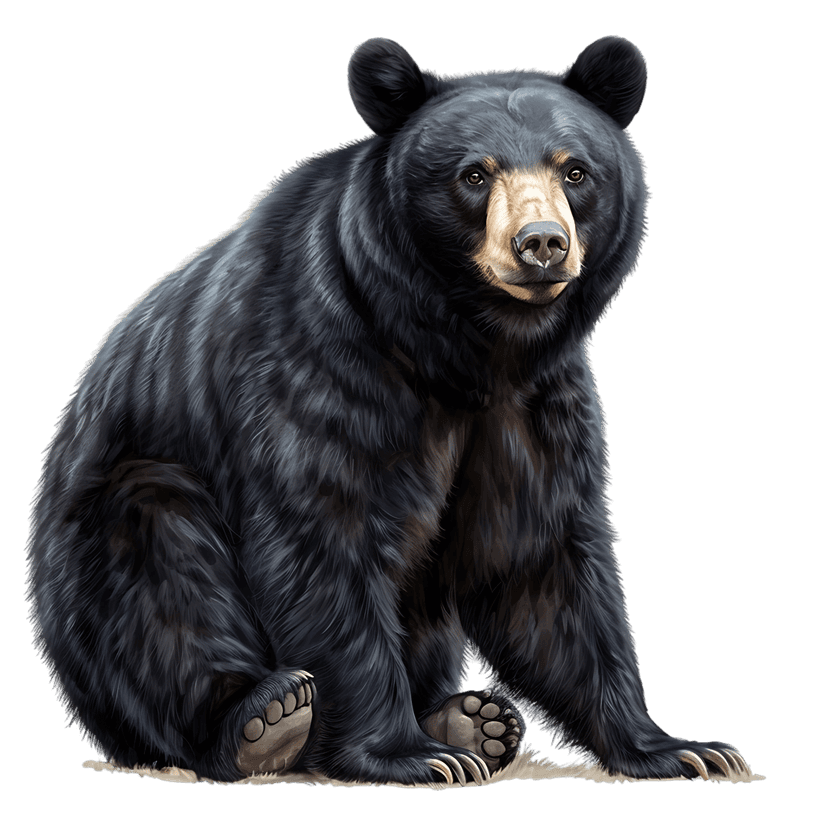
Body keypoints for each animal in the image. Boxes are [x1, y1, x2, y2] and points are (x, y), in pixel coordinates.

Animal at [26, 36, 749, 785]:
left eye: (575, 169)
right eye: (474, 174)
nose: (542, 243)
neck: (459, 347)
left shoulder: (531, 404)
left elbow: (543, 559)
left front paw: (679, 747)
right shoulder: (321, 358)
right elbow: (325, 532)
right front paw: (410, 754)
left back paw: (472, 718)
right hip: (107, 542)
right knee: (162, 563)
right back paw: (268, 720)